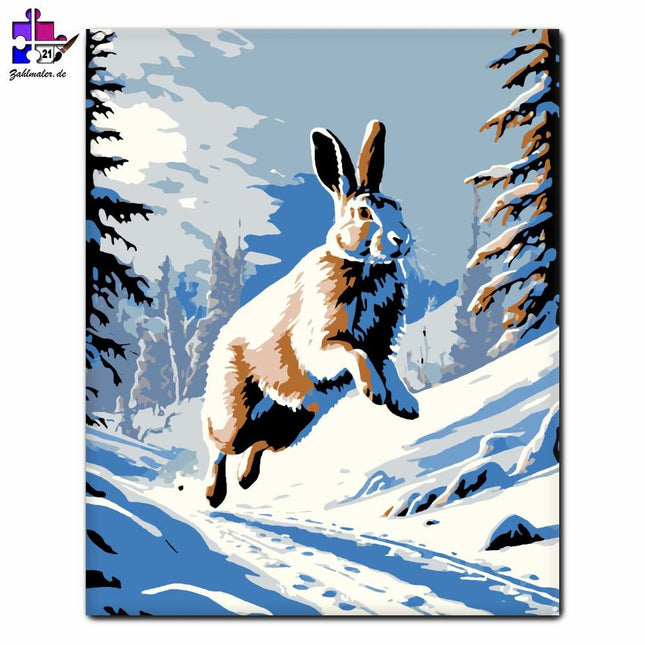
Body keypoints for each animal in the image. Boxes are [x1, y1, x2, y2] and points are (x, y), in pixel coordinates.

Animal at [202, 120, 419, 508]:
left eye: (398, 206)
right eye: (364, 213)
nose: (402, 240)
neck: (364, 268)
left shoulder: (382, 345)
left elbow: (390, 368)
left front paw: (406, 406)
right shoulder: (322, 344)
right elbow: (352, 352)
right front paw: (373, 393)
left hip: (296, 421)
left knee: (260, 445)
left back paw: (245, 479)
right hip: (236, 411)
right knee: (220, 445)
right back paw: (215, 494)